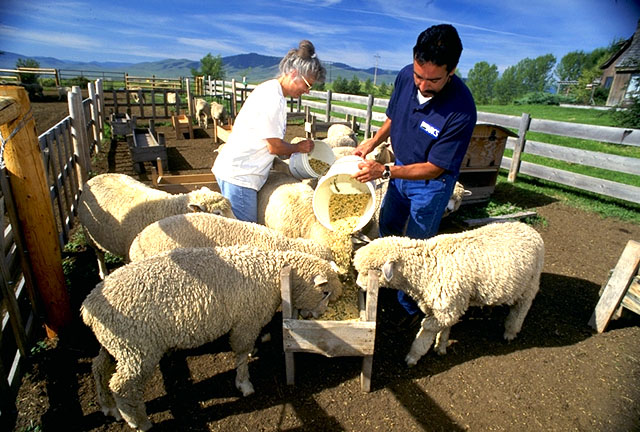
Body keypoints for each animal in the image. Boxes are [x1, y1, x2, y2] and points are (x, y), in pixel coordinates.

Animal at [77, 173, 234, 279]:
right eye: (217, 213)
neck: (169, 209)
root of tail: (95, 177)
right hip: (89, 234)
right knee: (99, 253)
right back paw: (103, 272)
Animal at [81, 245, 343, 431]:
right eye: (324, 292)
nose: (321, 314)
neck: (272, 272)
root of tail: (89, 308)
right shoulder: (246, 321)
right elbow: (240, 352)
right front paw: (244, 384)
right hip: (138, 349)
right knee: (123, 386)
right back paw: (139, 422)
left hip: (117, 345)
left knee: (99, 368)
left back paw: (108, 407)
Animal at [353, 221, 544, 367]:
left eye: (373, 271)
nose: (358, 286)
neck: (427, 268)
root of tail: (531, 230)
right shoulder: (448, 305)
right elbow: (446, 327)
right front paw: (440, 346)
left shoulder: (446, 308)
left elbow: (425, 333)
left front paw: (412, 357)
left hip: (531, 283)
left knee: (521, 309)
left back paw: (510, 332)